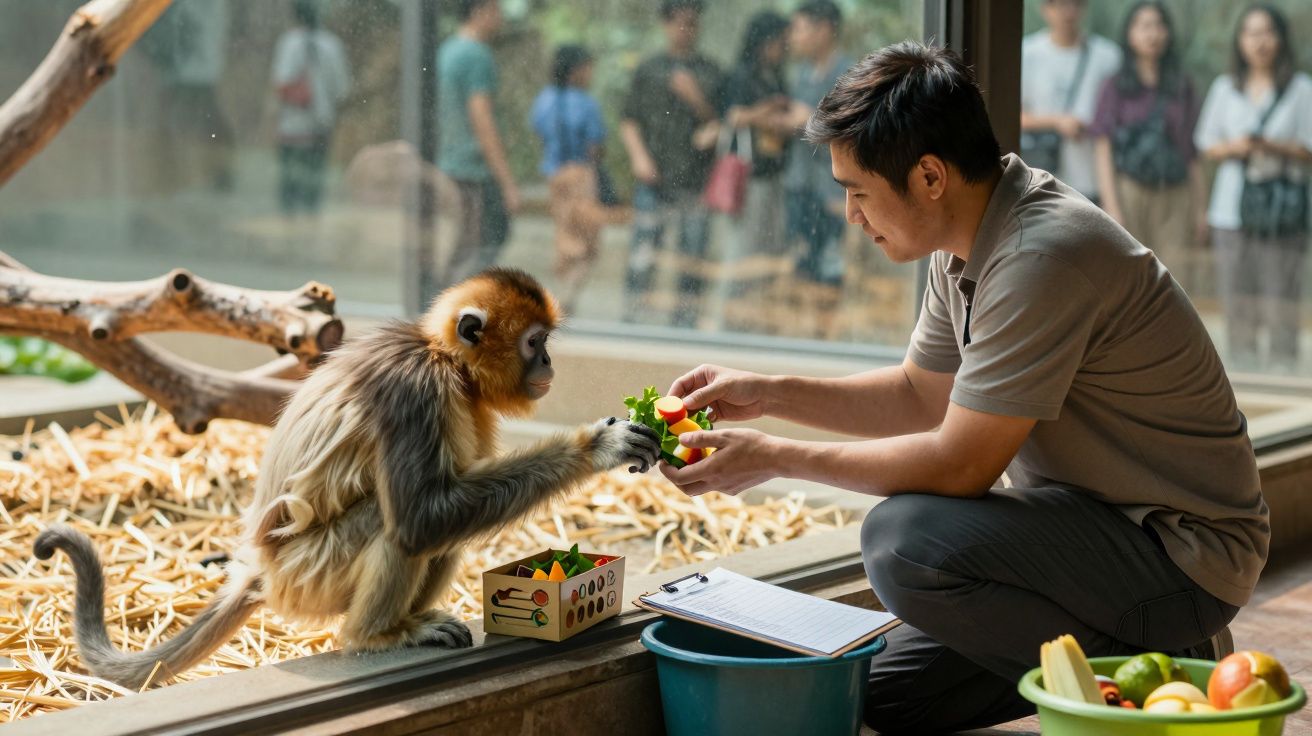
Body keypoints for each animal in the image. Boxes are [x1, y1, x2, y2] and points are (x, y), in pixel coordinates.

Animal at [34, 268, 662, 689]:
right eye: (537, 343)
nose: (549, 364)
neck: (442, 359)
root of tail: (261, 568)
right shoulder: (415, 389)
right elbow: (420, 518)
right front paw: (597, 446)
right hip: (308, 572)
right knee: (398, 525)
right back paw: (376, 635)